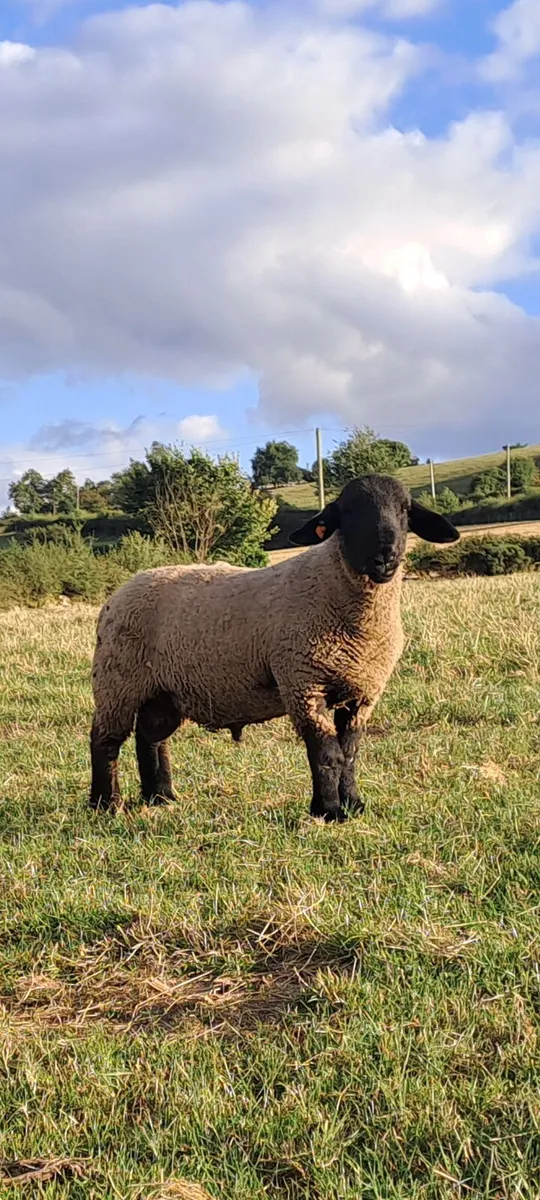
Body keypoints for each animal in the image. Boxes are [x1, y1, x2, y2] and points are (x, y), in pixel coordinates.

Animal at [89, 474, 459, 821]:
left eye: (405, 510)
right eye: (348, 512)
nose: (385, 557)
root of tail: (121, 591)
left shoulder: (362, 693)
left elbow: (350, 751)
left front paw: (353, 804)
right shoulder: (302, 683)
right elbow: (326, 753)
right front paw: (328, 811)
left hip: (163, 691)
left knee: (150, 738)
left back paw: (160, 796)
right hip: (116, 681)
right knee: (105, 741)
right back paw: (106, 804)